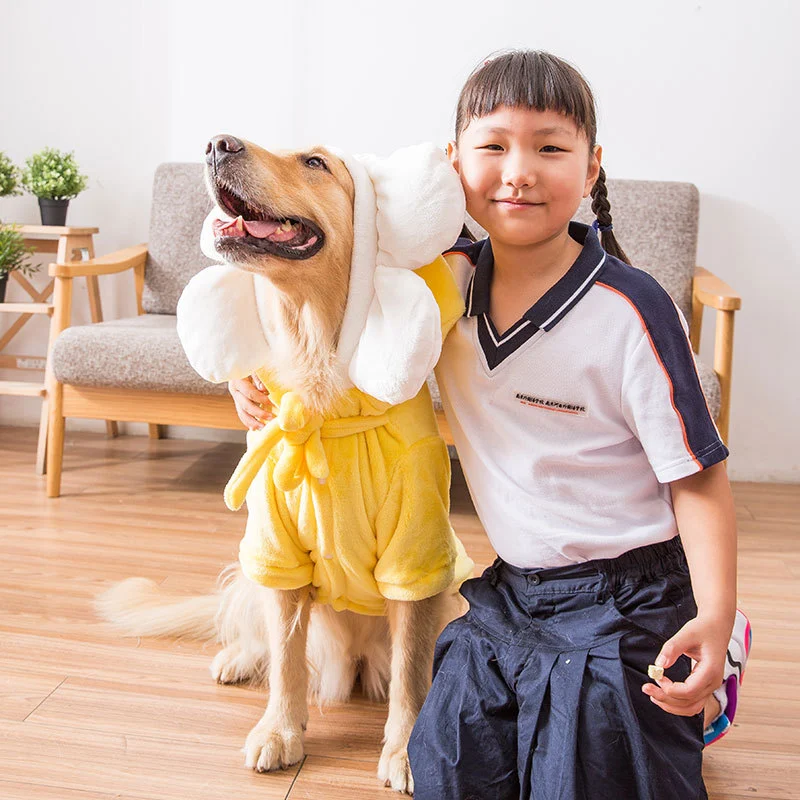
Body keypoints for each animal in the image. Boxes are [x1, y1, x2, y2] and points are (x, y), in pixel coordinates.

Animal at [98, 136, 462, 792]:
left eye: (315, 162)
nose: (217, 144)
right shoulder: (279, 547)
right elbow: (289, 661)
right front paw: (280, 731)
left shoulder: (415, 557)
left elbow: (410, 670)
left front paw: (402, 752)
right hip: (253, 565)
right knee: (256, 628)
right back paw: (240, 659)